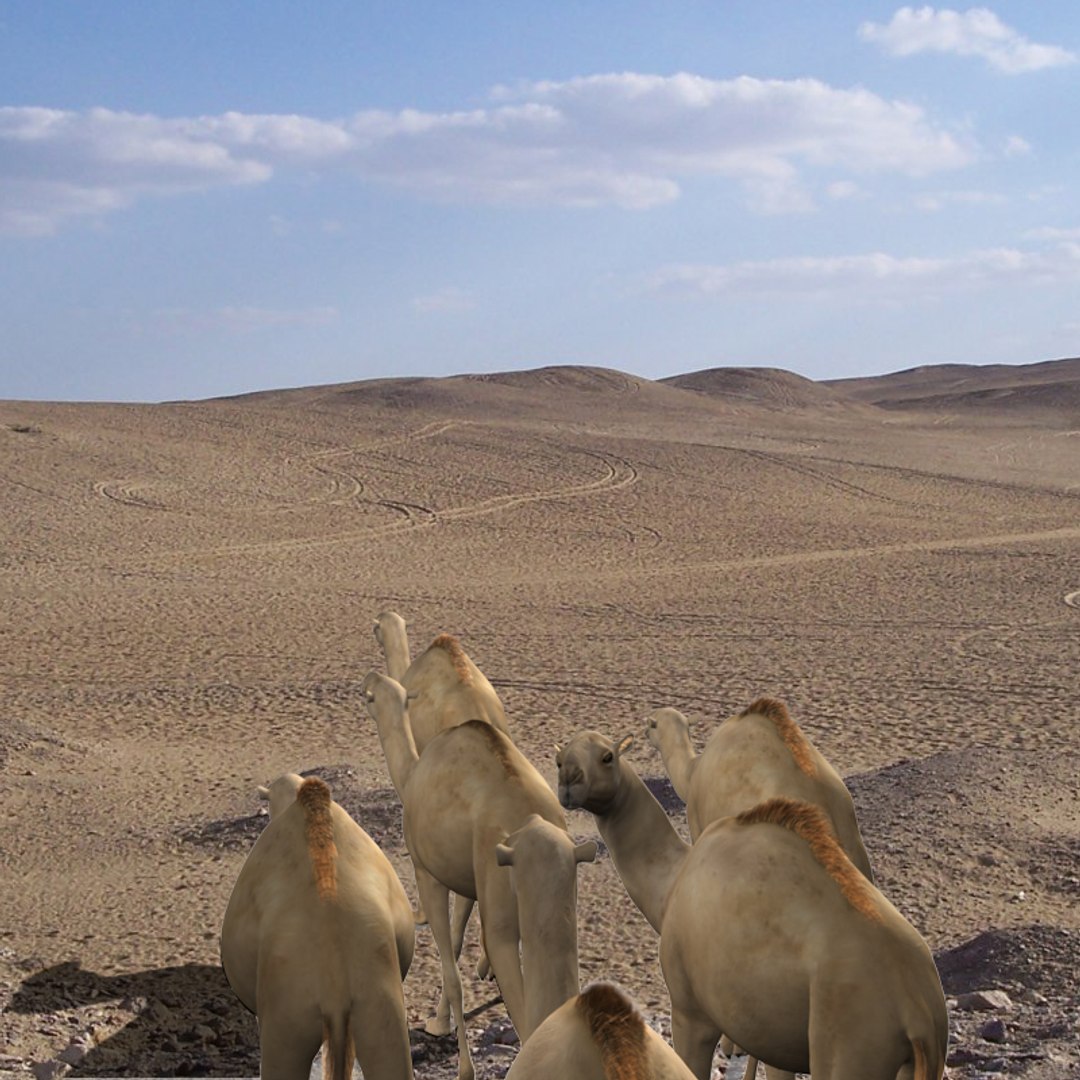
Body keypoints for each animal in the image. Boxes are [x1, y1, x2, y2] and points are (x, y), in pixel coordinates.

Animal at [362, 671, 596, 1080]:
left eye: (373, 696)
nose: (369, 677)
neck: (412, 775)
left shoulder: (427, 872)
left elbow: (451, 968)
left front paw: (462, 1065)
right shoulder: (467, 878)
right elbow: (457, 942)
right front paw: (440, 1022)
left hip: (499, 874)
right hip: (558, 880)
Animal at [556, 732, 948, 1080]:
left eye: (607, 757)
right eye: (560, 758)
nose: (567, 781)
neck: (671, 884)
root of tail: (918, 1013)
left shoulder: (690, 1011)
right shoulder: (773, 1027)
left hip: (852, 1046)